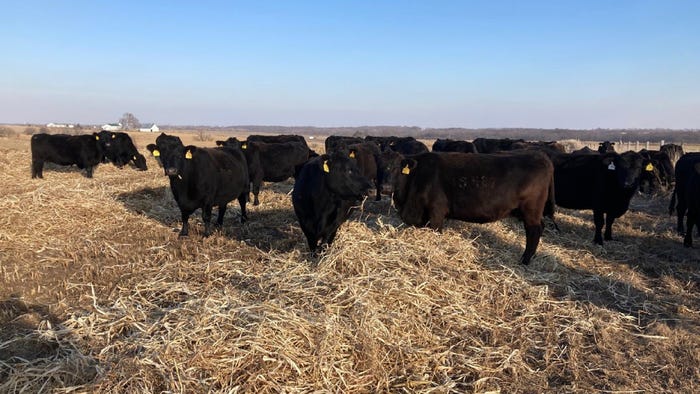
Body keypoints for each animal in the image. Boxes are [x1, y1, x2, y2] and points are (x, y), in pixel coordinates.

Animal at [392, 151, 556, 264]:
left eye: (395, 169)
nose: (387, 187)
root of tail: (540, 156)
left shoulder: (436, 212)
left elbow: (436, 231)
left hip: (531, 210)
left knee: (534, 230)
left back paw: (525, 260)